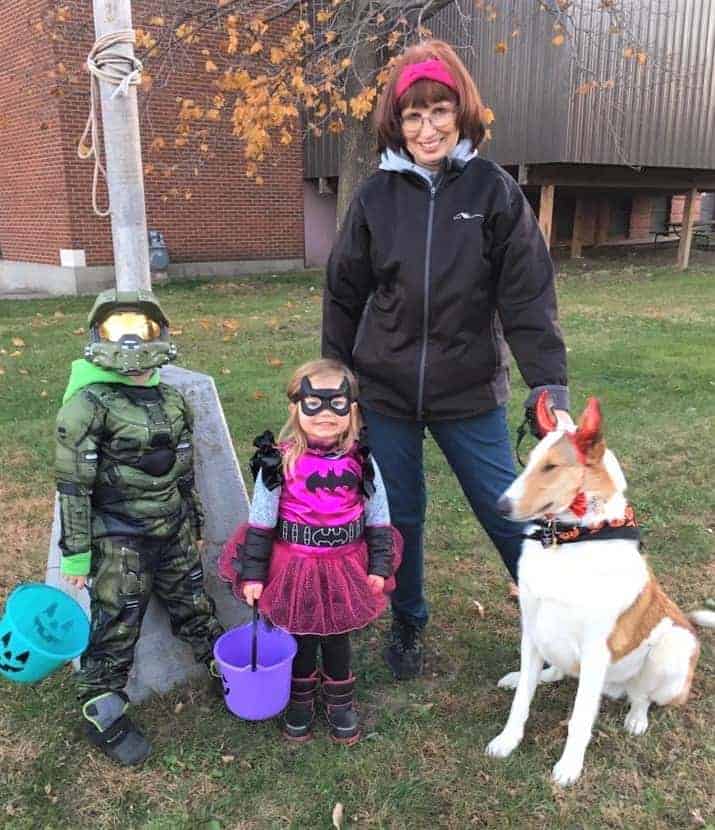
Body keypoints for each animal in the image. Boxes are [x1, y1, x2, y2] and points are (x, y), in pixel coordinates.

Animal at [484, 394, 712, 788]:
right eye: (529, 460)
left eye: (551, 466)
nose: (499, 506)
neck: (567, 540)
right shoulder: (532, 627)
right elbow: (522, 701)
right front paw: (507, 740)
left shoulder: (594, 650)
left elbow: (579, 719)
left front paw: (569, 767)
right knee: (556, 671)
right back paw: (532, 677)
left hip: (673, 646)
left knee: (642, 696)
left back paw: (636, 718)